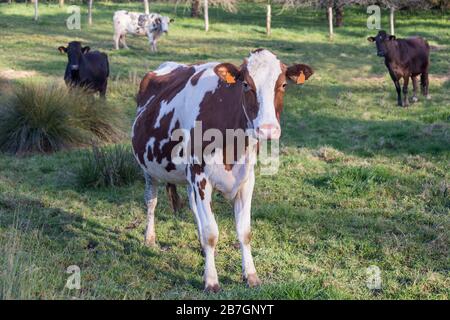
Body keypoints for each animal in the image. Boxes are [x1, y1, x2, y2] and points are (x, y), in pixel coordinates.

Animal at [130, 48, 312, 292]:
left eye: (283, 84)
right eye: (245, 84)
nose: (267, 129)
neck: (232, 144)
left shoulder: (246, 180)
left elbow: (244, 232)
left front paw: (251, 275)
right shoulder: (200, 177)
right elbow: (211, 233)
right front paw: (211, 280)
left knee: (193, 207)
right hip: (150, 170)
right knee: (151, 202)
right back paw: (149, 238)